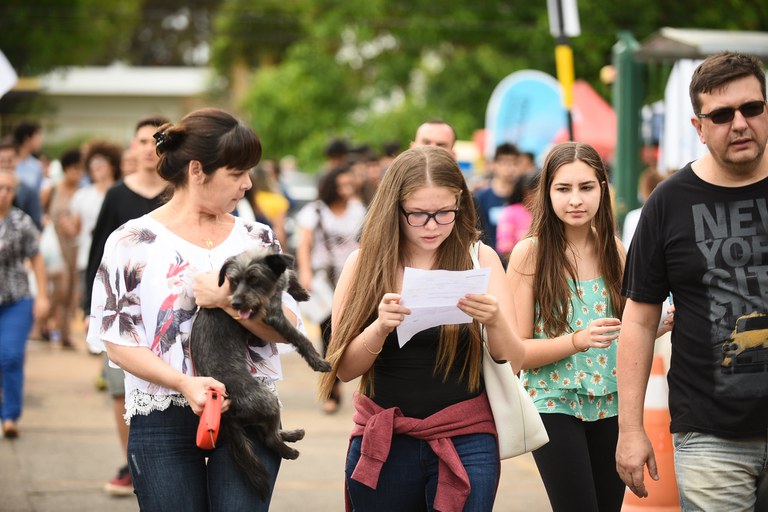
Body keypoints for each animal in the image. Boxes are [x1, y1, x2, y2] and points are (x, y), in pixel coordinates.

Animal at [190, 246, 332, 498]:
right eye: (233, 281)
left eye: (254, 279)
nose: (236, 304)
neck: (271, 288)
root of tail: (226, 409)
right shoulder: (273, 317)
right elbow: (300, 338)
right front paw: (318, 361)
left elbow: (289, 272)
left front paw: (299, 290)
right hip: (267, 400)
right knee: (268, 438)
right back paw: (289, 451)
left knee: (267, 431)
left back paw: (293, 435)